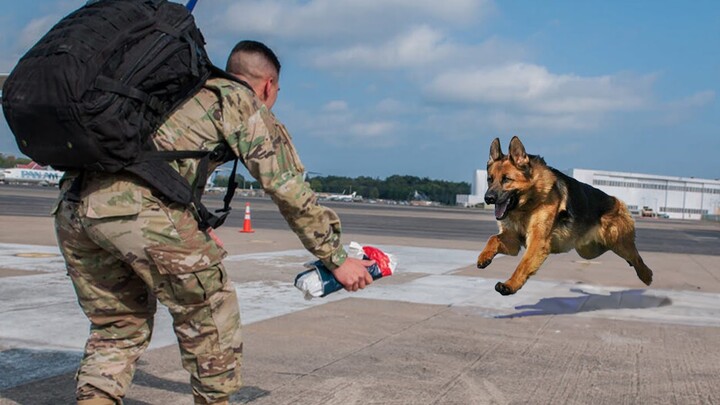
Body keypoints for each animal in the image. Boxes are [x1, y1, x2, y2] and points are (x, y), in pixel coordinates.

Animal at [478, 136, 652, 294]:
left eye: (506, 179)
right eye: (489, 179)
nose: (488, 198)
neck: (527, 204)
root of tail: (616, 201)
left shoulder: (537, 242)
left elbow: (524, 264)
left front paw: (510, 285)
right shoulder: (513, 241)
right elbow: (493, 238)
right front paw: (484, 257)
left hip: (618, 243)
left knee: (636, 257)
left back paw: (647, 275)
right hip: (589, 251)